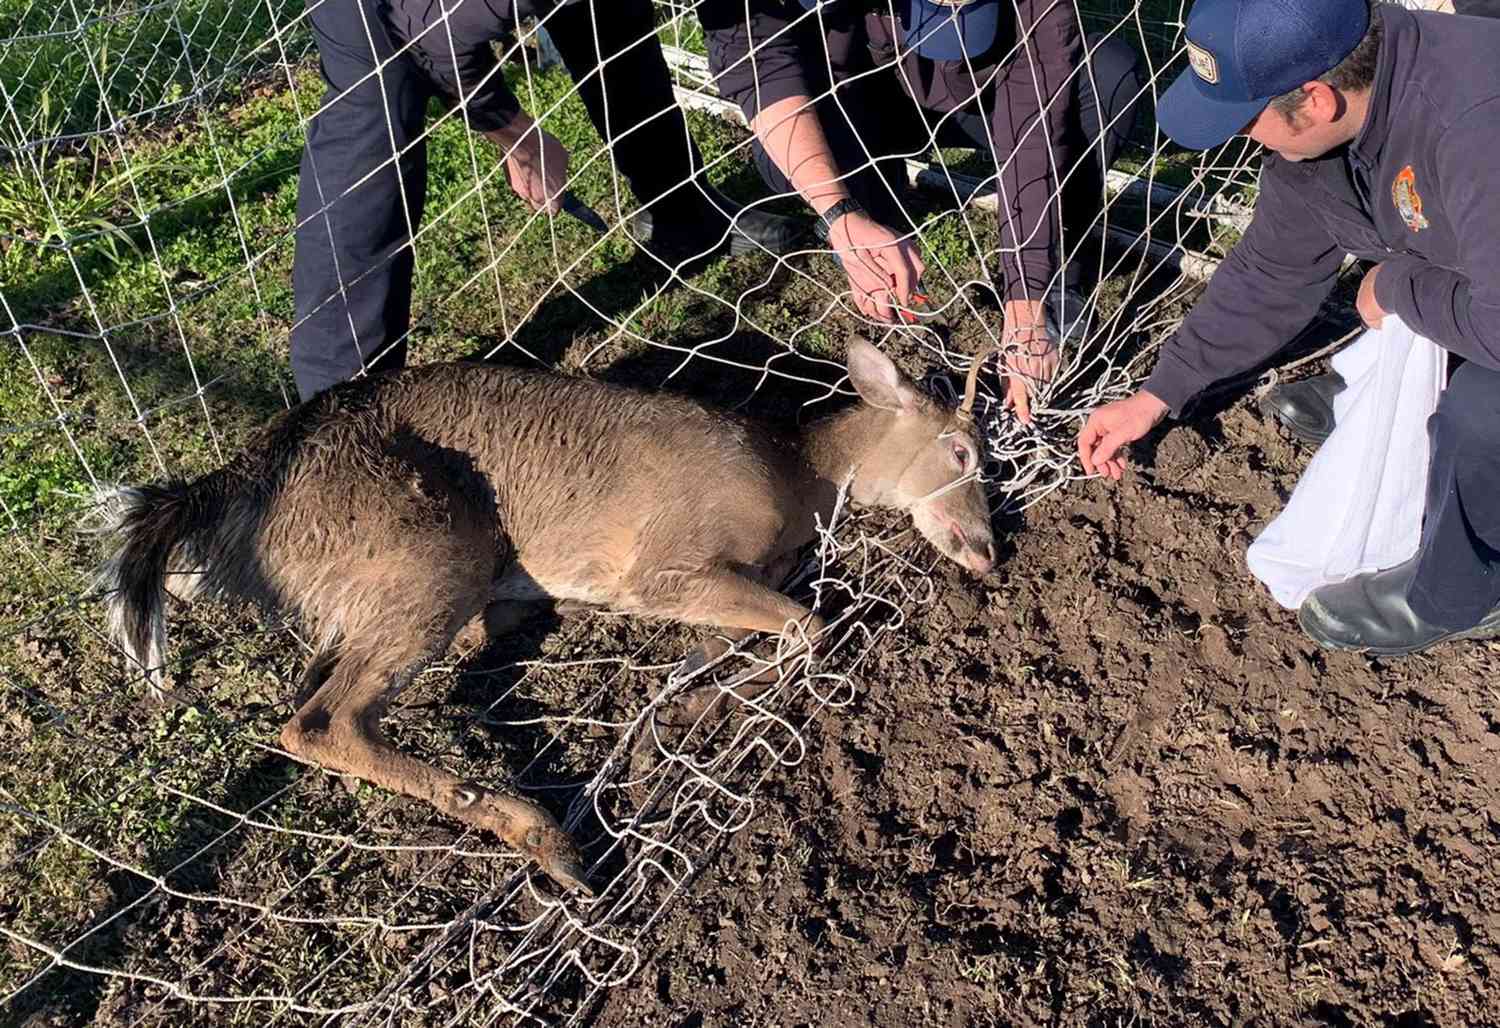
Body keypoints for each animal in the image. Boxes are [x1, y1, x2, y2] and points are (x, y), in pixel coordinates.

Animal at [93, 339, 996, 895]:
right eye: (963, 451)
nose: (988, 551)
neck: (796, 474)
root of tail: (243, 481)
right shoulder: (662, 562)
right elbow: (808, 625)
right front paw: (699, 717)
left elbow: (753, 632)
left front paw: (684, 714)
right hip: (431, 547)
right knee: (319, 719)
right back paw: (548, 840)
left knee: (340, 680)